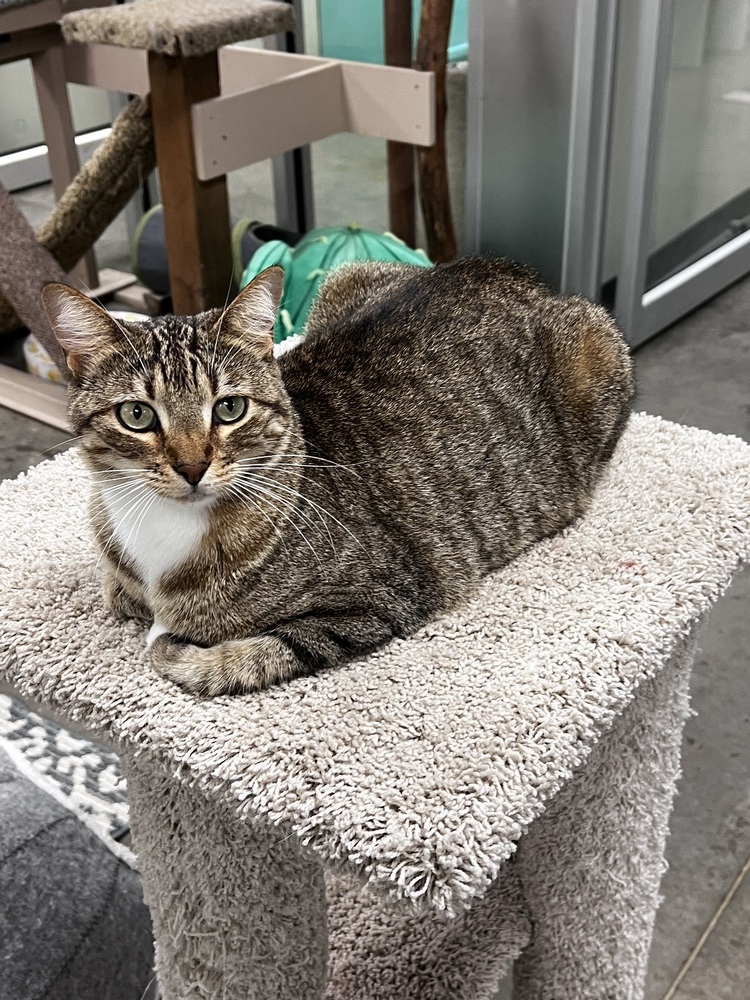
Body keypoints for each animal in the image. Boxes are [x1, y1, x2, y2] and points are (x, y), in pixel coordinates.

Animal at [42, 258, 636, 696]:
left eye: (229, 408)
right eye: (137, 415)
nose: (192, 466)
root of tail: (526, 276)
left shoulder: (383, 596)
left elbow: (257, 652)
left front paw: (177, 647)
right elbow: (118, 594)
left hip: (600, 345)